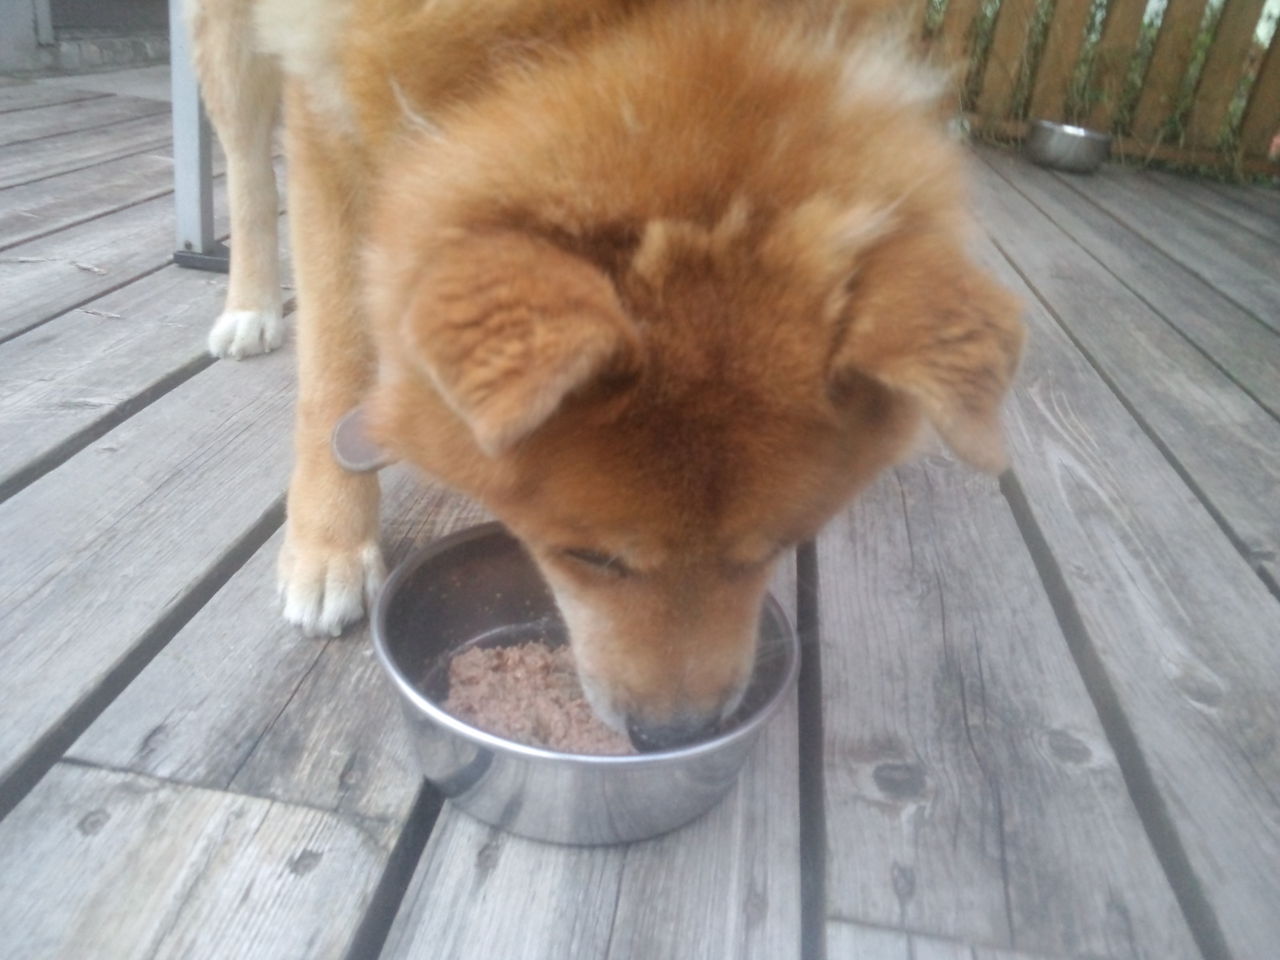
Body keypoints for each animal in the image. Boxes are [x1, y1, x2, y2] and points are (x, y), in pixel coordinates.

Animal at [188, 0, 1024, 748]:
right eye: (587, 557)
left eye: (778, 547)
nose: (672, 734)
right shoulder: (322, 105)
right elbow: (335, 357)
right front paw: (327, 544)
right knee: (246, 166)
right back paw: (250, 306)